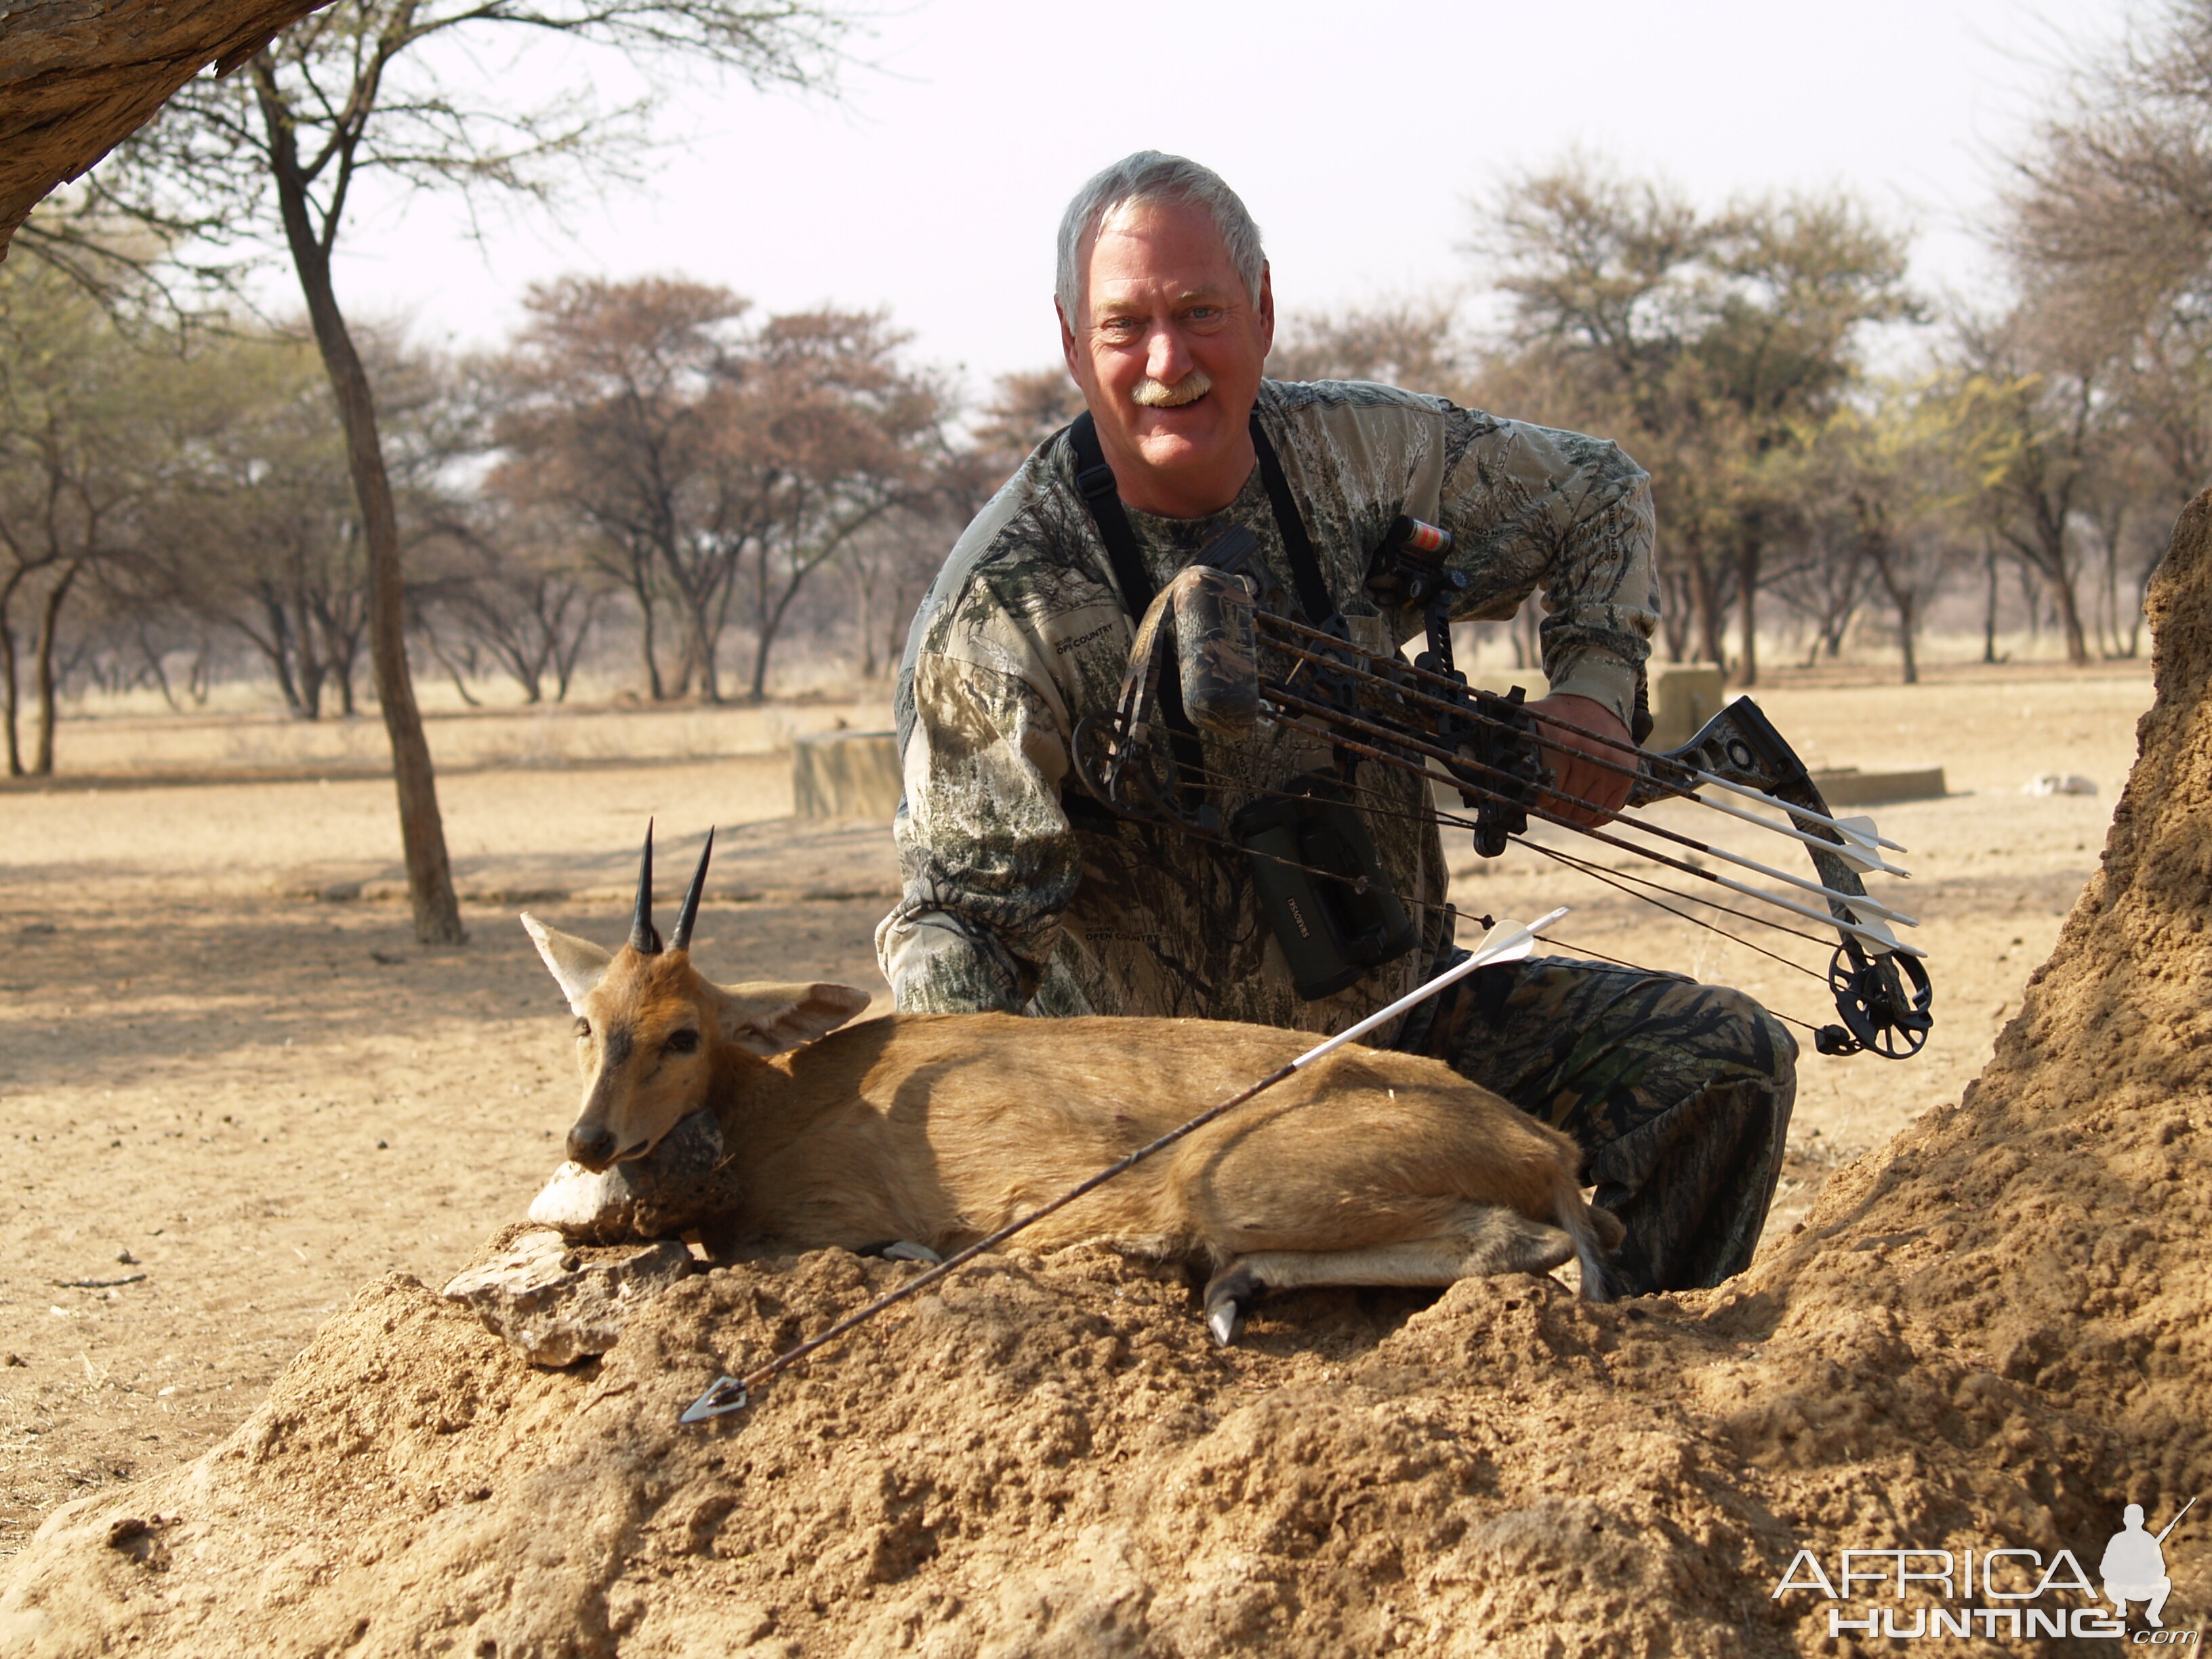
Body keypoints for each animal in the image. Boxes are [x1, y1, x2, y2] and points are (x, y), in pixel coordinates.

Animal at [522, 827, 1628, 1345]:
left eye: (682, 1033)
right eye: (587, 1022)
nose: (588, 1140)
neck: (782, 1101)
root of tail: (1546, 1146)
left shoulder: (817, 1222)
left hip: (1232, 1184)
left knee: (1523, 1242)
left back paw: (1221, 1288)